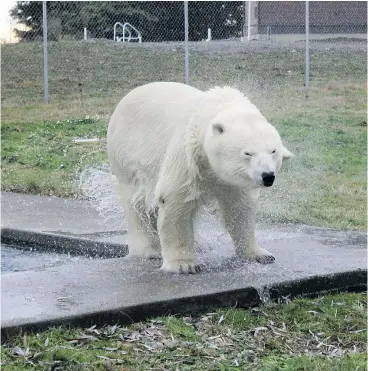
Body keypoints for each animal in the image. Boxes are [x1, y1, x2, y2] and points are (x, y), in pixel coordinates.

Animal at [107, 82, 294, 274]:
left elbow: (239, 208)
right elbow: (175, 198)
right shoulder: (188, 155)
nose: (268, 176)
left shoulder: (232, 180)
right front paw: (182, 265)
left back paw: (200, 244)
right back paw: (149, 250)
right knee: (137, 203)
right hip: (128, 156)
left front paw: (260, 254)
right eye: (248, 153)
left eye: (273, 151)